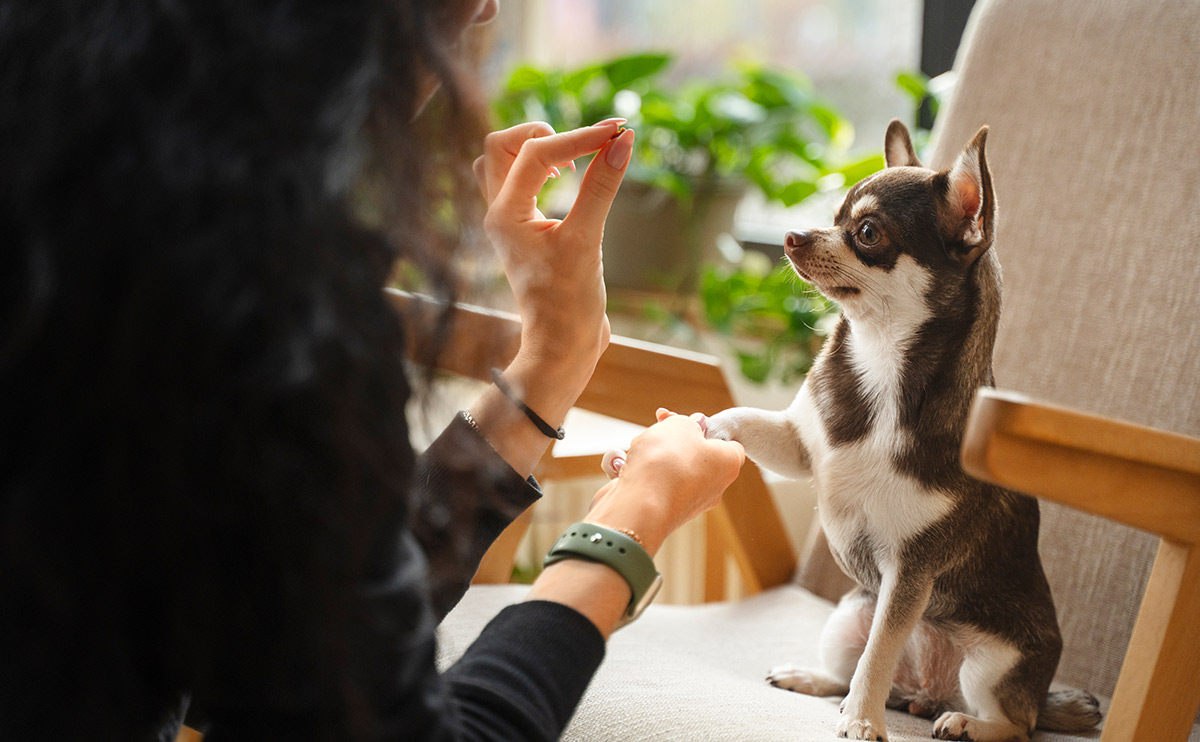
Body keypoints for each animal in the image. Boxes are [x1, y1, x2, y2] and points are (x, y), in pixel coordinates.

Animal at [705, 123, 1099, 739]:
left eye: (867, 233)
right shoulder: (800, 447)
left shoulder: (910, 573)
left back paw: (963, 722)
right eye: (833, 215)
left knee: (1017, 724)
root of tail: (925, 693)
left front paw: (863, 721)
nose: (793, 236)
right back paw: (813, 678)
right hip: (849, 614)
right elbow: (748, 421)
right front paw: (707, 426)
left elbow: (882, 651)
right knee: (849, 670)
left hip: (992, 663)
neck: (882, 363)